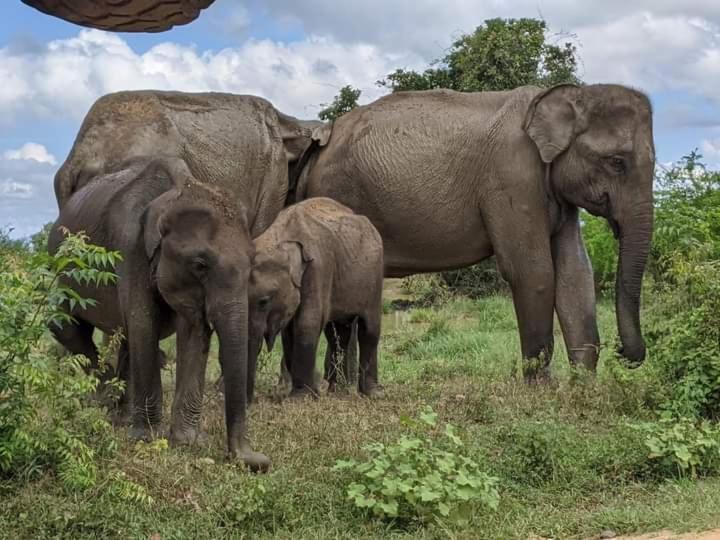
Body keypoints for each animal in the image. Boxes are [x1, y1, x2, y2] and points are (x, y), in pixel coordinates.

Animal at [48, 156, 270, 472]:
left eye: (252, 264)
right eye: (200, 265)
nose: (257, 461)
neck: (175, 193)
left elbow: (194, 330)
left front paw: (188, 441)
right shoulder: (130, 250)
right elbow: (144, 325)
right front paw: (148, 439)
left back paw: (122, 414)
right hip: (62, 269)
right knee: (64, 326)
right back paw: (109, 403)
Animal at [248, 198, 384, 399]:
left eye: (264, 302)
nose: (251, 401)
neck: (278, 237)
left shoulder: (318, 268)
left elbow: (307, 323)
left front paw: (300, 397)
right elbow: (289, 332)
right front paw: (313, 392)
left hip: (374, 276)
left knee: (369, 329)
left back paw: (371, 393)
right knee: (338, 333)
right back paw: (335, 390)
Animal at [296, 83, 655, 379]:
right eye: (616, 162)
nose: (624, 352)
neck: (569, 94)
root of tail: (318, 149)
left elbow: (576, 274)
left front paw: (583, 392)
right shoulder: (512, 176)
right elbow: (533, 273)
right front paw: (541, 393)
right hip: (338, 193)